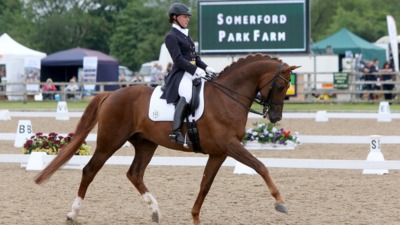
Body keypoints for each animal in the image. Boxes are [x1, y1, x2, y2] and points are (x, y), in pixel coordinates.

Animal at [35, 54, 300, 225]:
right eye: (281, 86)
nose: (275, 117)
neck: (227, 97)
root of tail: (112, 93)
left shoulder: (219, 152)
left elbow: (205, 184)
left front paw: (195, 217)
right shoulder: (230, 146)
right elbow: (260, 166)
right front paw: (280, 202)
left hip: (146, 144)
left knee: (134, 174)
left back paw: (155, 212)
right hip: (110, 141)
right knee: (90, 170)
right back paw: (73, 214)